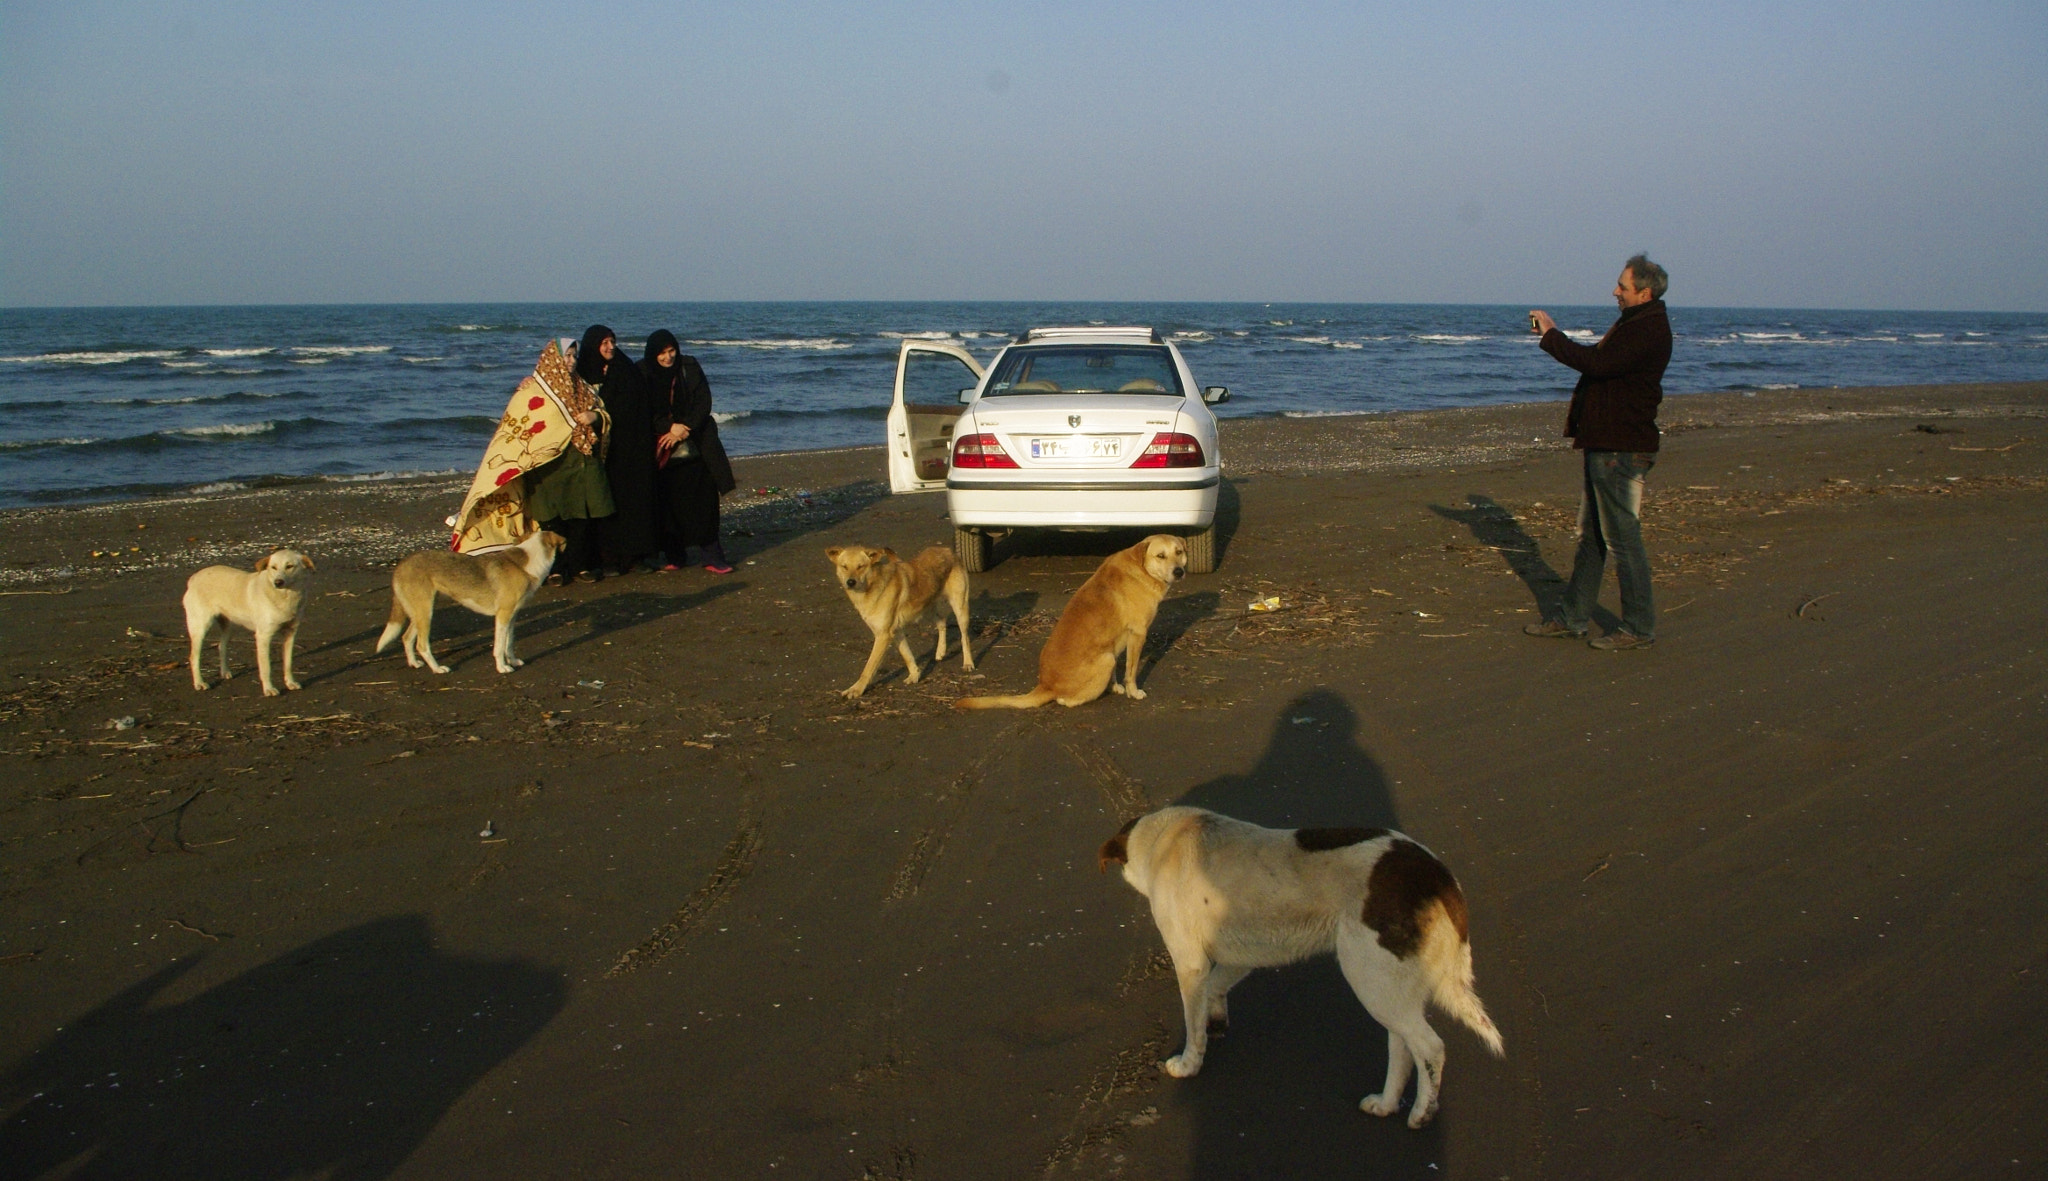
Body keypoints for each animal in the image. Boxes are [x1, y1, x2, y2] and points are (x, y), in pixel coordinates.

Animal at [184, 548, 313, 695]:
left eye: (289, 566)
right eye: (273, 567)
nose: (278, 582)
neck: (284, 597)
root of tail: (194, 577)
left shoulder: (290, 634)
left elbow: (288, 663)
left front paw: (290, 683)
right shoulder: (263, 636)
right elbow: (266, 667)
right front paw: (269, 689)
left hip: (229, 627)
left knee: (221, 646)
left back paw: (225, 672)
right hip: (200, 628)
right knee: (194, 657)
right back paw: (199, 683)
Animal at [376, 523, 565, 671]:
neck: (525, 563)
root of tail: (401, 564)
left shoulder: (512, 616)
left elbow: (509, 643)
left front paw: (512, 661)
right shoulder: (502, 616)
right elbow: (498, 647)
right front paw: (502, 667)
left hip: (421, 612)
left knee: (406, 638)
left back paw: (414, 663)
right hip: (425, 612)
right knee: (422, 645)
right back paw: (437, 669)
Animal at [823, 544, 974, 700]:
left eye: (861, 566)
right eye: (844, 566)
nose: (850, 582)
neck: (872, 586)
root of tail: (947, 550)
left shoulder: (883, 635)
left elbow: (869, 667)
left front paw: (856, 689)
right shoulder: (895, 632)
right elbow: (907, 655)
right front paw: (915, 675)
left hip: (960, 608)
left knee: (964, 637)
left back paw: (968, 662)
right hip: (926, 607)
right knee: (942, 622)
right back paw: (940, 651)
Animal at [1105, 806, 1507, 1129]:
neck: (1165, 838)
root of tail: (1439, 876)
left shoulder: (1189, 963)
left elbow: (1192, 1023)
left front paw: (1189, 1063)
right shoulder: (1242, 956)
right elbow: (1216, 989)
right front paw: (1215, 1020)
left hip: (1369, 977)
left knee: (1430, 1048)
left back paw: (1421, 1113)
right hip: (1389, 987)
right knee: (1403, 1047)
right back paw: (1386, 1104)